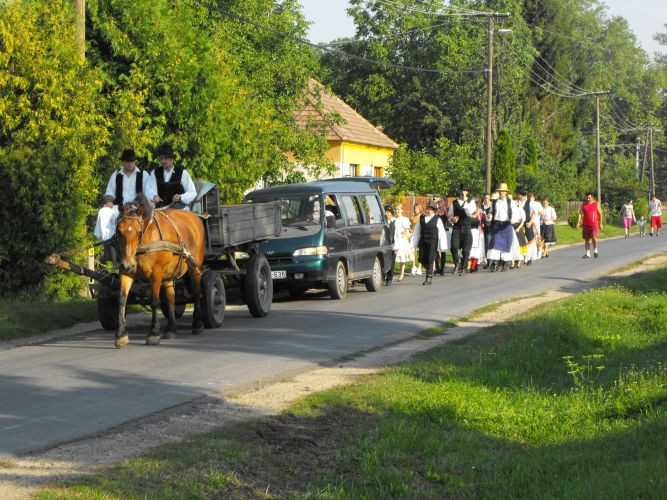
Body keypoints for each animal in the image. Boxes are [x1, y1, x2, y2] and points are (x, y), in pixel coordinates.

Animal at [115, 195, 205, 348]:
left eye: (138, 232)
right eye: (119, 232)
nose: (127, 264)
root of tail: (195, 217)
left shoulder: (156, 273)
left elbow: (155, 302)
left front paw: (153, 333)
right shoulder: (126, 272)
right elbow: (121, 300)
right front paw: (121, 335)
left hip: (195, 268)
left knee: (196, 292)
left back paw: (198, 324)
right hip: (168, 273)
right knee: (171, 297)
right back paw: (171, 328)